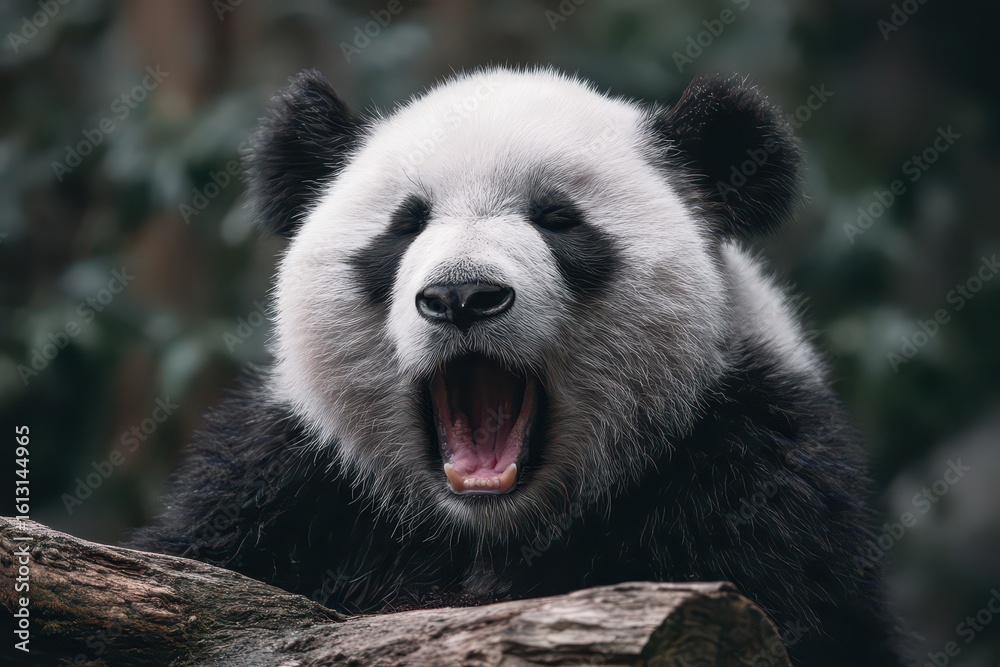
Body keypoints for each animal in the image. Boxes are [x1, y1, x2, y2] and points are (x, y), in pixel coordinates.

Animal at [129, 67, 907, 665]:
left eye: (558, 219)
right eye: (406, 224)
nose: (461, 296)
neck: (490, 529)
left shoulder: (754, 475)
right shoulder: (282, 485)